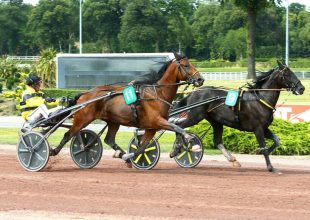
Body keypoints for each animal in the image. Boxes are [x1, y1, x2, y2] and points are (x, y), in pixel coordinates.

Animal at [49, 52, 205, 164]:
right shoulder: (157, 121)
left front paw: (179, 148)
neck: (157, 93)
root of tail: (84, 94)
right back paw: (52, 151)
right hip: (83, 119)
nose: (200, 79)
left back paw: (121, 153)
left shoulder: (152, 127)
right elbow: (177, 128)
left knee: (109, 140)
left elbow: (143, 146)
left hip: (113, 121)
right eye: (186, 65)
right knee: (68, 134)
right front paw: (190, 140)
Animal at [172, 61, 306, 173]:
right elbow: (264, 146)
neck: (260, 99)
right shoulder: (257, 128)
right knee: (179, 125)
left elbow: (276, 141)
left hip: (216, 121)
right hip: (195, 116)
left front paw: (261, 151)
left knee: (217, 141)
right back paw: (178, 147)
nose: (302, 88)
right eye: (287, 74)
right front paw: (270, 167)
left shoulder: (264, 128)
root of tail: (193, 93)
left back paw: (232, 160)